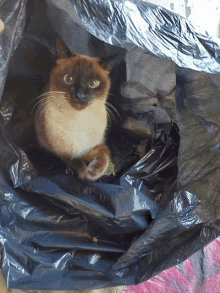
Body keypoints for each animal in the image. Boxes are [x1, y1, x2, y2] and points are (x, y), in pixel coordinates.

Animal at [34, 37, 117, 180]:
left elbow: (105, 155)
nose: (80, 95)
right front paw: (84, 173)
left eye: (93, 83)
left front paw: (92, 173)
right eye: (69, 79)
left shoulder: (91, 148)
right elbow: (75, 162)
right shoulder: (61, 152)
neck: (78, 120)